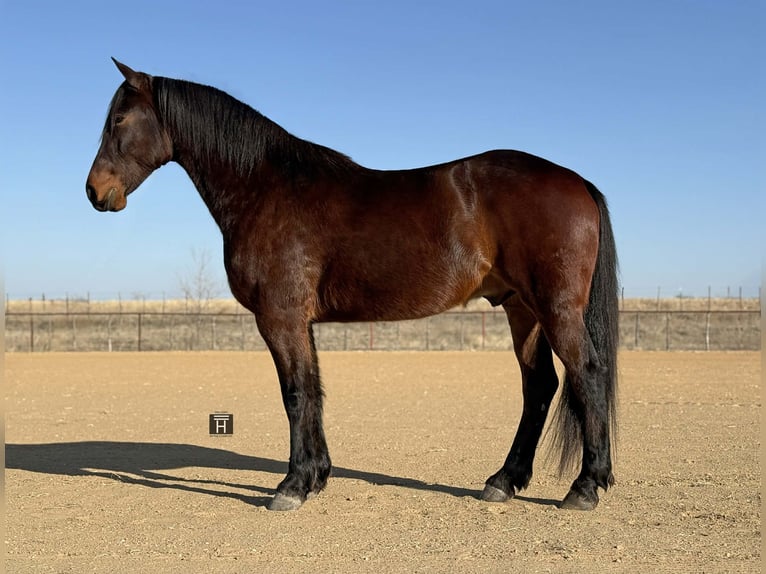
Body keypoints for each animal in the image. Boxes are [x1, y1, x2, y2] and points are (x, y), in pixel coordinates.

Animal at [86, 59, 619, 512]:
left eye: (119, 119)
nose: (95, 191)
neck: (265, 188)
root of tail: (576, 181)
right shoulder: (301, 322)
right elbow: (314, 388)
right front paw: (317, 476)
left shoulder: (280, 318)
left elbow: (295, 392)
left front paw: (292, 486)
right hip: (521, 310)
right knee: (540, 386)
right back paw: (503, 481)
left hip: (556, 308)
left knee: (588, 374)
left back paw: (584, 487)